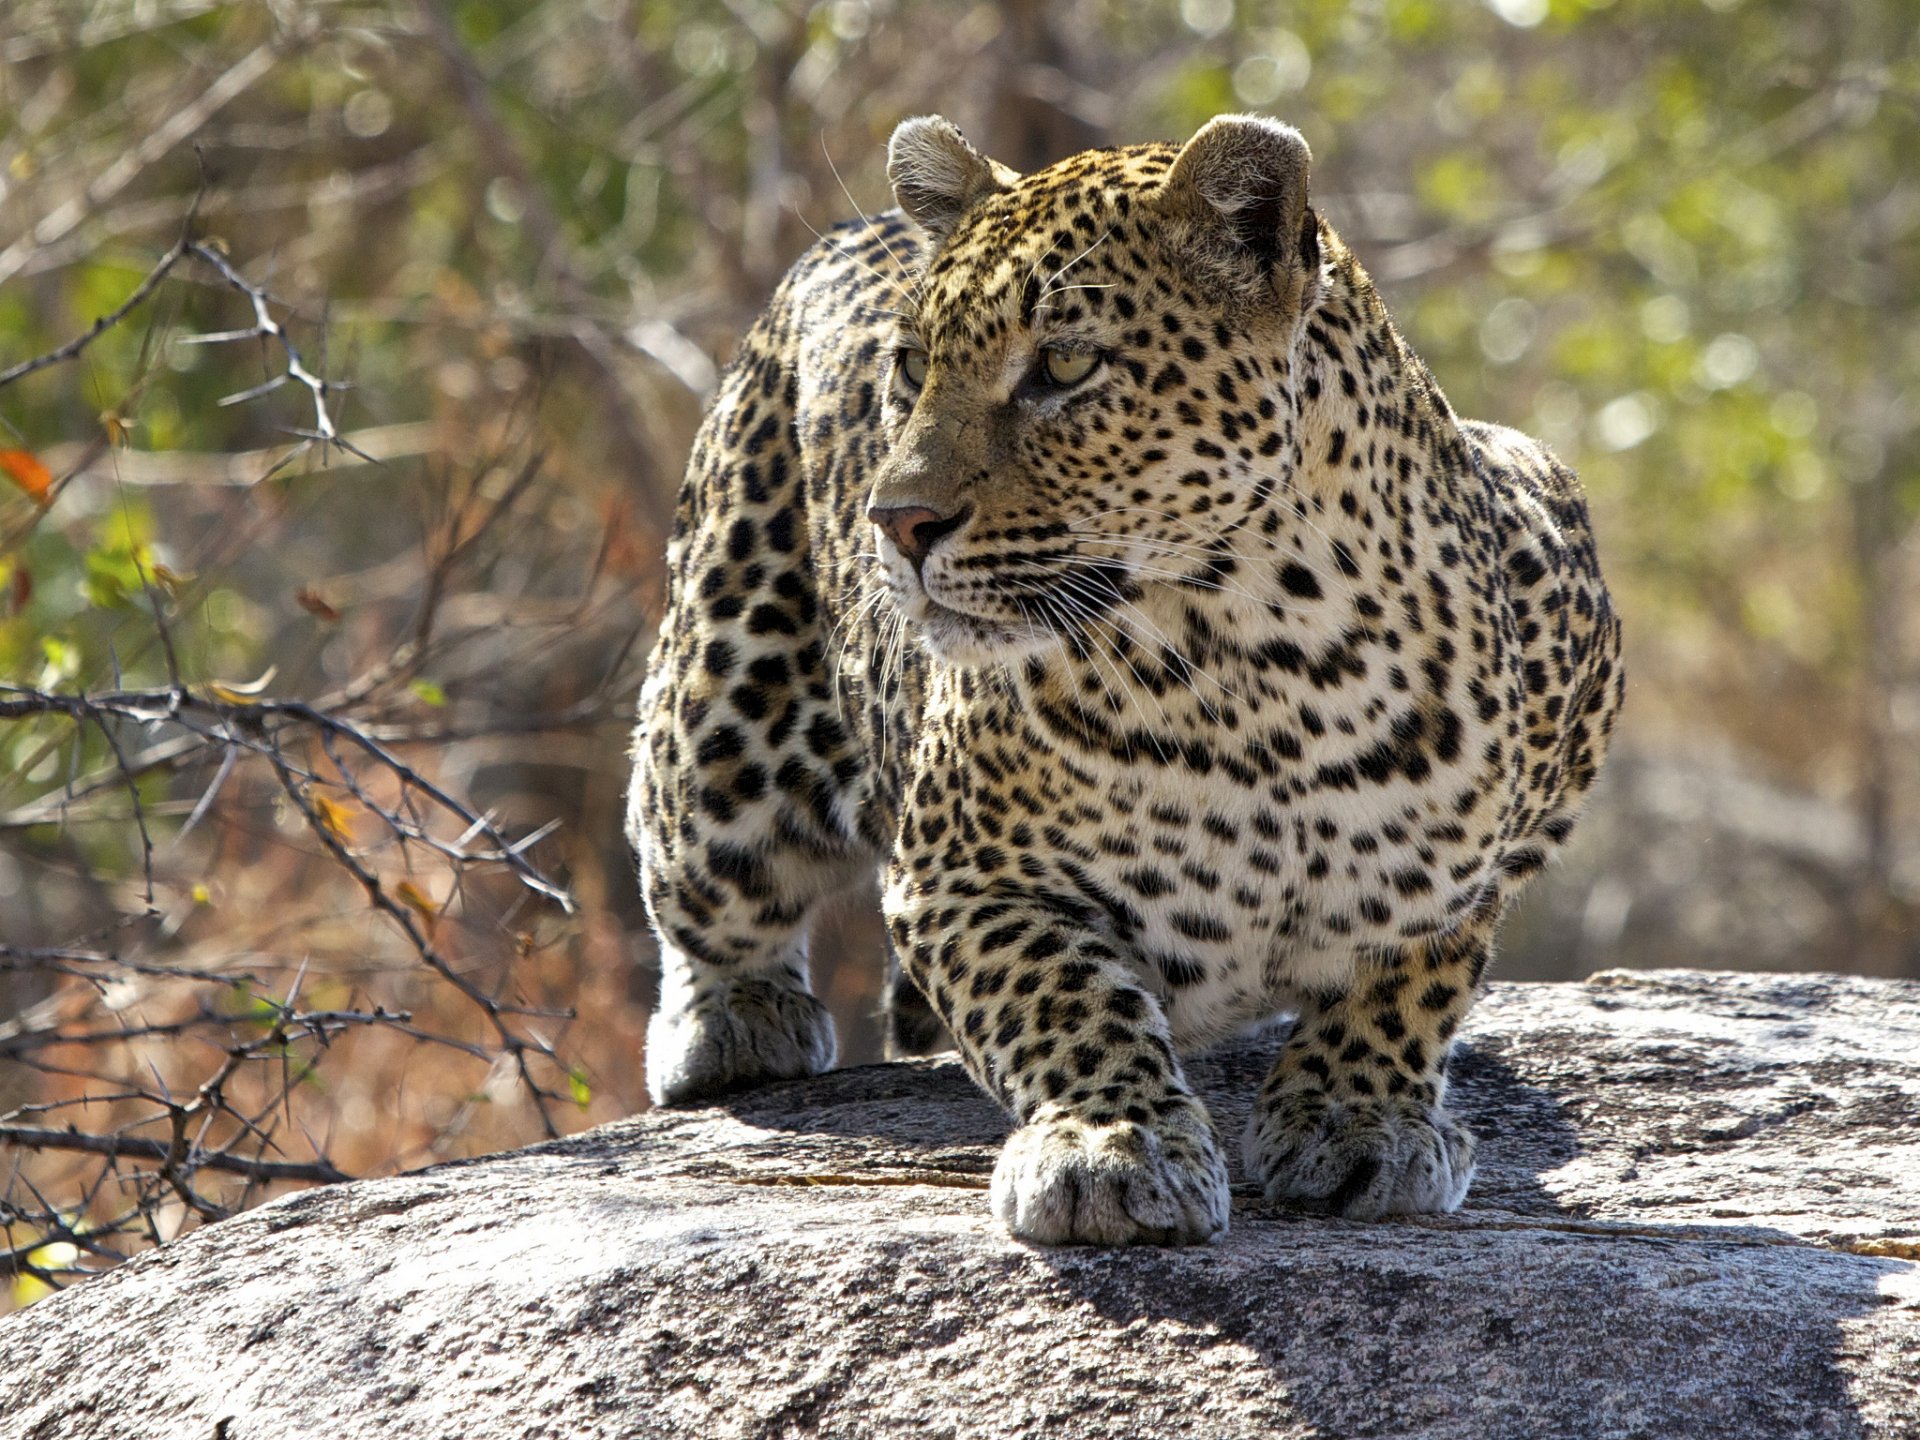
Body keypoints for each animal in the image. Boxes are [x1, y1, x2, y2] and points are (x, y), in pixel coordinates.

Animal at [627, 113, 1623, 1246]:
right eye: (912, 366)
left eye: (1064, 364)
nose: (897, 520)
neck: (1265, 668)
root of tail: (853, 226)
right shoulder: (961, 877)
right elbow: (1064, 999)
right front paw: (1112, 1147)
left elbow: (1414, 972)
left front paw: (1359, 1117)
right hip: (722, 714)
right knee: (700, 872)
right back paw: (733, 1024)